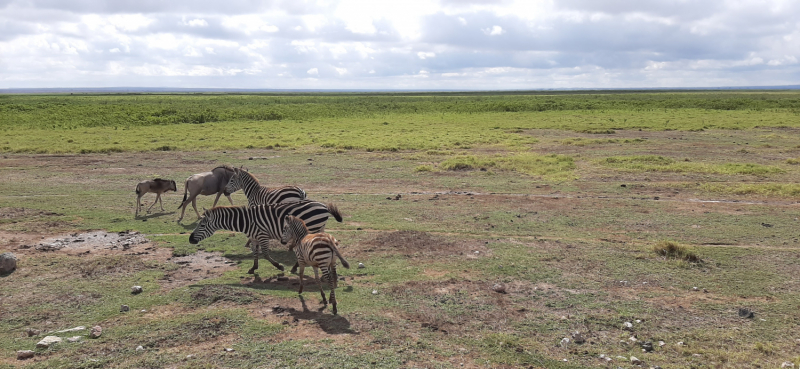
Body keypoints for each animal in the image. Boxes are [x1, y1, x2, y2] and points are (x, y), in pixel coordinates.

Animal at [189, 198, 342, 274]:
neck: (246, 221)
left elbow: (266, 254)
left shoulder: (262, 235)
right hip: (318, 227)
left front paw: (279, 266)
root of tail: (323, 206)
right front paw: (253, 268)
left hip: (312, 227)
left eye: (202, 225)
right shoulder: (255, 237)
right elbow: (256, 253)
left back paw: (294, 267)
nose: (190, 239)